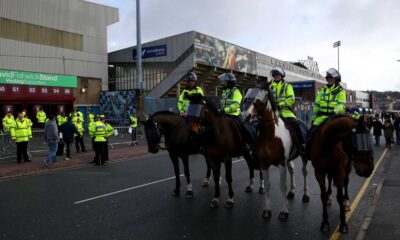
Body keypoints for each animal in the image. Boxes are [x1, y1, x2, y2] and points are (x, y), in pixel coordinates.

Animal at [244, 87, 310, 220]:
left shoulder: (281, 163)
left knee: (304, 172)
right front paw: (267, 210)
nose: (246, 115)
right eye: (247, 95)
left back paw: (305, 195)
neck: (270, 135)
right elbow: (267, 186)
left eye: (259, 100)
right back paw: (292, 192)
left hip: (303, 156)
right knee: (292, 170)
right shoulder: (264, 164)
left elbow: (282, 186)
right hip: (289, 159)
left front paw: (284, 211)